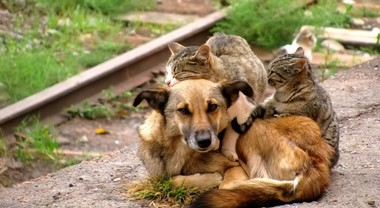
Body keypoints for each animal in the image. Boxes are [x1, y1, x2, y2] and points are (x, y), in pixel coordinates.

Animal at [133, 79, 332, 207]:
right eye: (183, 110)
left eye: (213, 107)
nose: (205, 142)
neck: (179, 149)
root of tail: (316, 162)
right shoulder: (158, 174)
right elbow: (168, 180)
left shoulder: (235, 168)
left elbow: (179, 180)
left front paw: (210, 178)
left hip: (249, 135)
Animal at [166, 33, 268, 162]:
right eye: (167, 72)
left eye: (177, 73)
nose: (166, 82)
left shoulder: (244, 109)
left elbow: (232, 133)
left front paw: (228, 150)